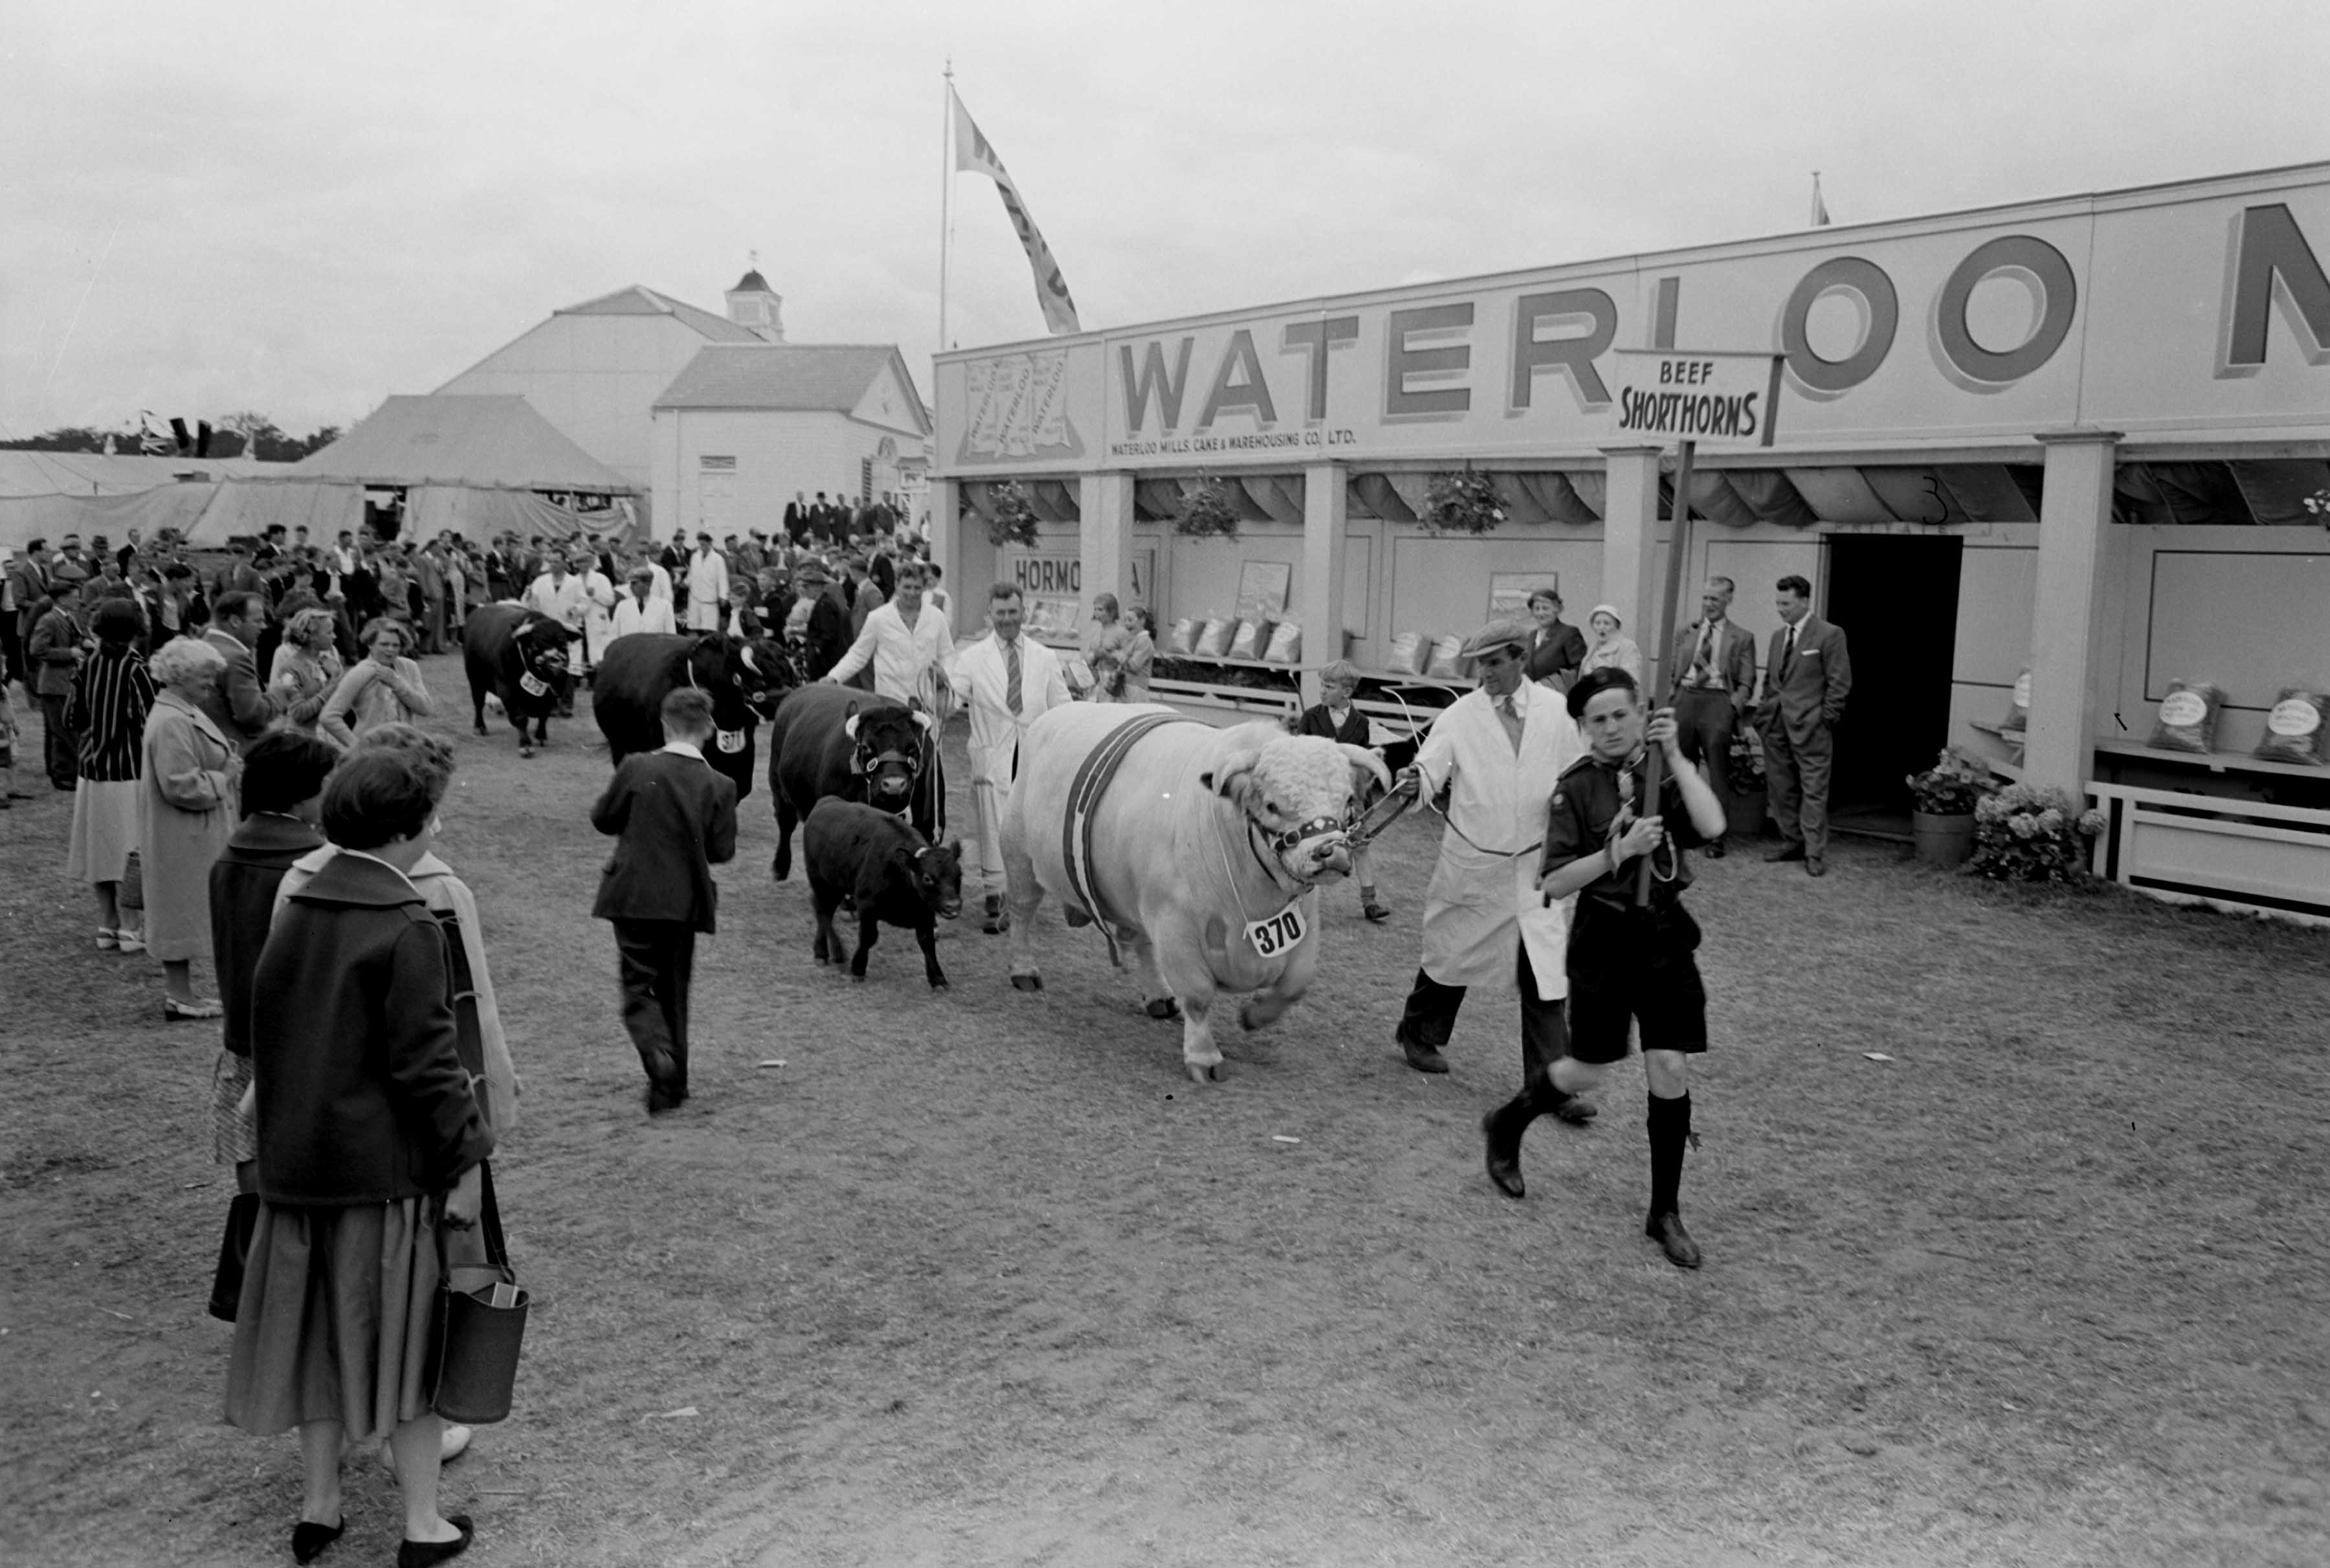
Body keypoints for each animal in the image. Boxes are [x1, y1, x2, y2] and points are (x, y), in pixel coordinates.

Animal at [806, 801, 960, 983]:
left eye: (959, 874)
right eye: (928, 878)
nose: (953, 906)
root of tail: (826, 802)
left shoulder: (925, 912)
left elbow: (927, 942)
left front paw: (938, 979)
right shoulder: (866, 905)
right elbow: (869, 937)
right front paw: (858, 969)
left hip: (835, 885)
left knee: (826, 913)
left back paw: (825, 952)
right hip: (820, 881)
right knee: (822, 912)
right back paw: (832, 953)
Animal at [997, 708, 1379, 1081]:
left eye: (1348, 800)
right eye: (1272, 805)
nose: (1332, 853)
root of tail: (1054, 714)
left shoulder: (1304, 923)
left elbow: (1295, 985)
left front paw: (1253, 1016)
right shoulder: (1176, 927)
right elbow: (1197, 996)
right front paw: (1203, 1056)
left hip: (1132, 894)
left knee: (1141, 944)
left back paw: (1159, 996)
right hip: (1020, 858)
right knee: (1021, 913)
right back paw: (1023, 970)